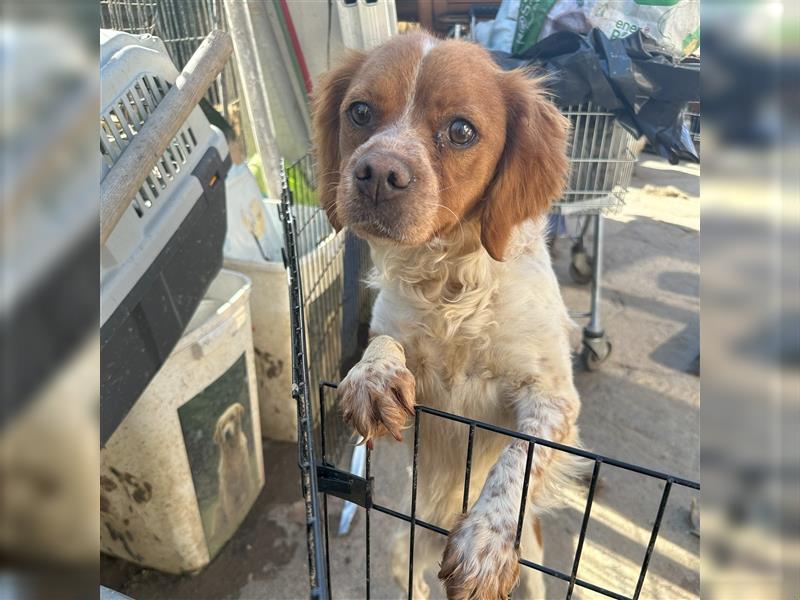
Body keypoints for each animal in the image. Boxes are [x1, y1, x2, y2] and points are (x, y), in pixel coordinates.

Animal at [212, 404, 253, 540]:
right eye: (221, 426)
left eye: (232, 417)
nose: (227, 433)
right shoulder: (228, 495)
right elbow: (232, 516)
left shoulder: (247, 482)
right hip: (219, 513)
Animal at [312, 31, 580, 600]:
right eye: (360, 112)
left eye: (461, 130)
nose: (377, 174)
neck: (449, 282)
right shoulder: (402, 349)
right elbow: (382, 341)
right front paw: (373, 377)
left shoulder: (555, 400)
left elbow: (519, 458)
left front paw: (486, 538)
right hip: (403, 552)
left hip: (534, 564)